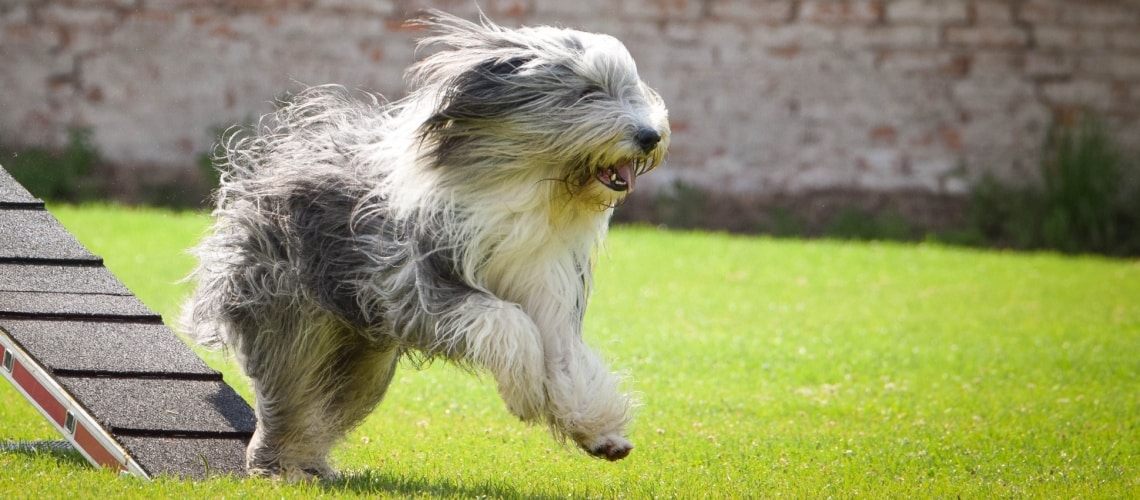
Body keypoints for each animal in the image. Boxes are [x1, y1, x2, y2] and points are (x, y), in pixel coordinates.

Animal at [180, 9, 665, 480]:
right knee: (290, 393)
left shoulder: (544, 280)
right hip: (290, 315)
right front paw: (527, 392)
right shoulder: (408, 284)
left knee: (329, 403)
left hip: (363, 359)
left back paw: (309, 463)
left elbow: (564, 356)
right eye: (586, 92)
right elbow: (508, 321)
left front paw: (599, 430)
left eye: (629, 89)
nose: (651, 136)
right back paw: (277, 467)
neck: (526, 187)